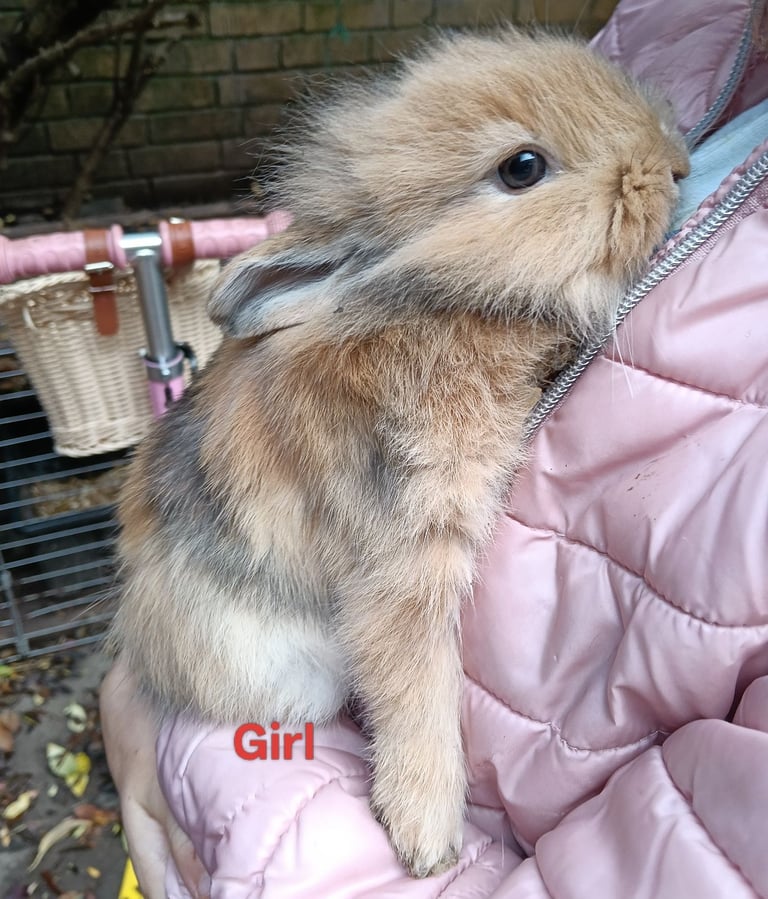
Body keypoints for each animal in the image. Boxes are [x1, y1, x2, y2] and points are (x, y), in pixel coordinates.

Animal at [110, 28, 689, 878]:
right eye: (522, 166)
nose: (674, 162)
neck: (439, 307)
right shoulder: (404, 549)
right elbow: (415, 680)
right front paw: (425, 831)